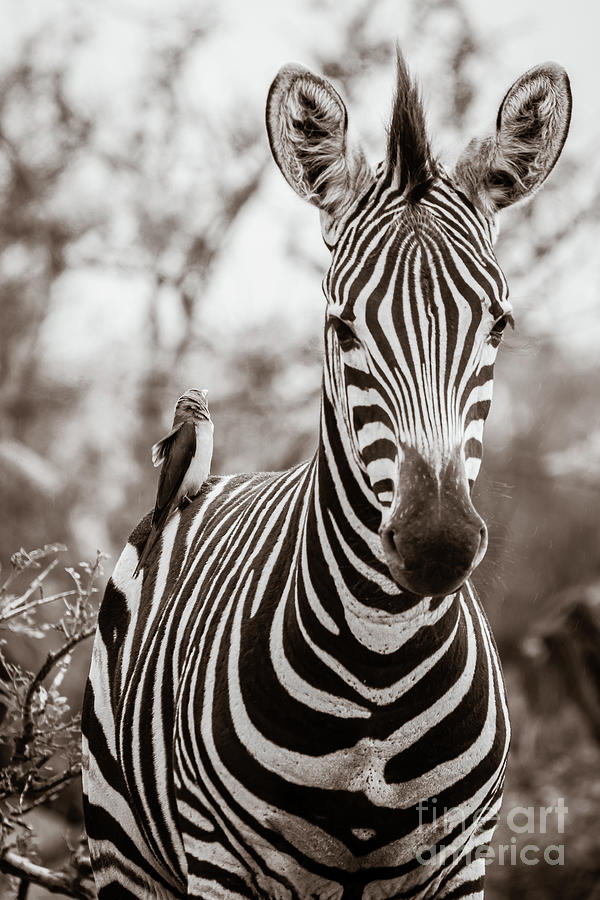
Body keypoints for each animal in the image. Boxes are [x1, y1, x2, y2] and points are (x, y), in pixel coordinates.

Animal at [82, 51, 568, 900]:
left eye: (500, 325)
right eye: (342, 327)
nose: (437, 543)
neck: (379, 651)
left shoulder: (463, 862)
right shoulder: (219, 860)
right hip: (124, 855)